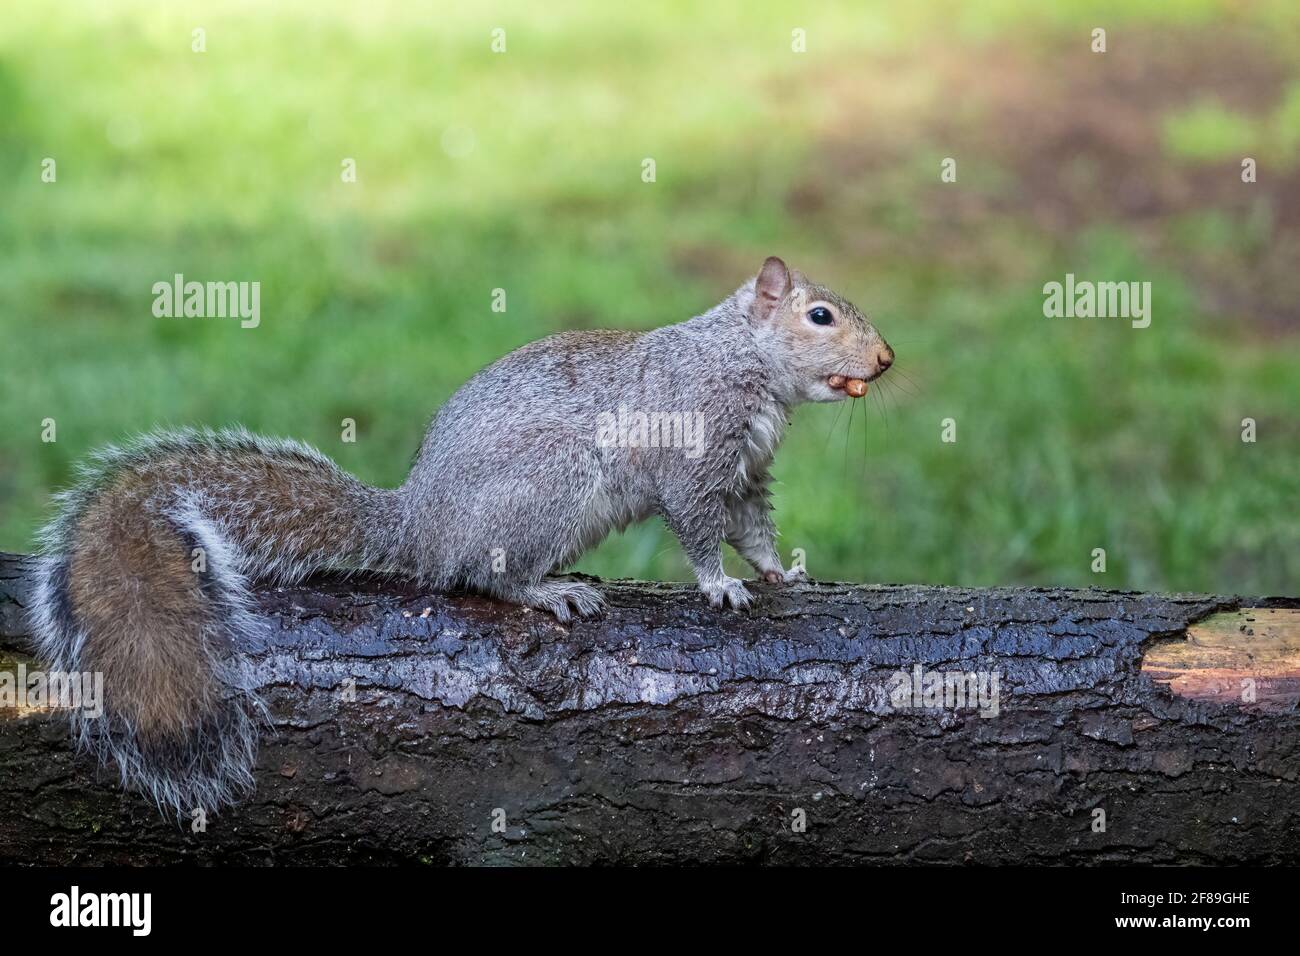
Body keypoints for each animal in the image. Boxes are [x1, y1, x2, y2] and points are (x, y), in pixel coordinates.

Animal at [25, 256, 894, 816]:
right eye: (819, 315)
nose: (886, 359)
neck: (743, 362)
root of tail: (419, 522)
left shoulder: (744, 474)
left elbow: (754, 528)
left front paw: (783, 573)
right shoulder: (693, 456)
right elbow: (700, 529)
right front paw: (718, 585)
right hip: (552, 481)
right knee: (485, 574)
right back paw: (550, 590)